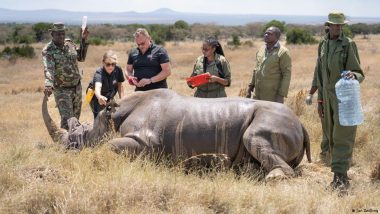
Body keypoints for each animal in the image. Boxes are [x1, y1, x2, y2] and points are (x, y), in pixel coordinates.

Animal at [41, 88, 310, 181]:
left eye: (77, 142)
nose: (64, 153)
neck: (111, 118)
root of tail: (301, 123)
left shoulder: (145, 142)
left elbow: (110, 146)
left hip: (273, 121)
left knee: (254, 138)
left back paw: (272, 178)